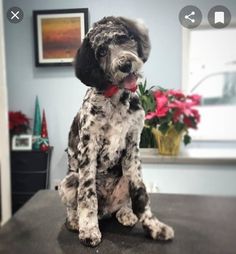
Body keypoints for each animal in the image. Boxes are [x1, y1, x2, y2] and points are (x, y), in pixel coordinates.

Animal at [58, 15, 173, 246]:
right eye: (101, 51)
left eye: (122, 38)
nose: (125, 64)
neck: (116, 98)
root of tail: (106, 210)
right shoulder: (89, 147)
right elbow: (87, 195)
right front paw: (89, 229)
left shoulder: (133, 147)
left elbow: (140, 195)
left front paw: (154, 227)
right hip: (69, 180)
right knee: (73, 204)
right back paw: (75, 221)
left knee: (123, 203)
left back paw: (125, 213)